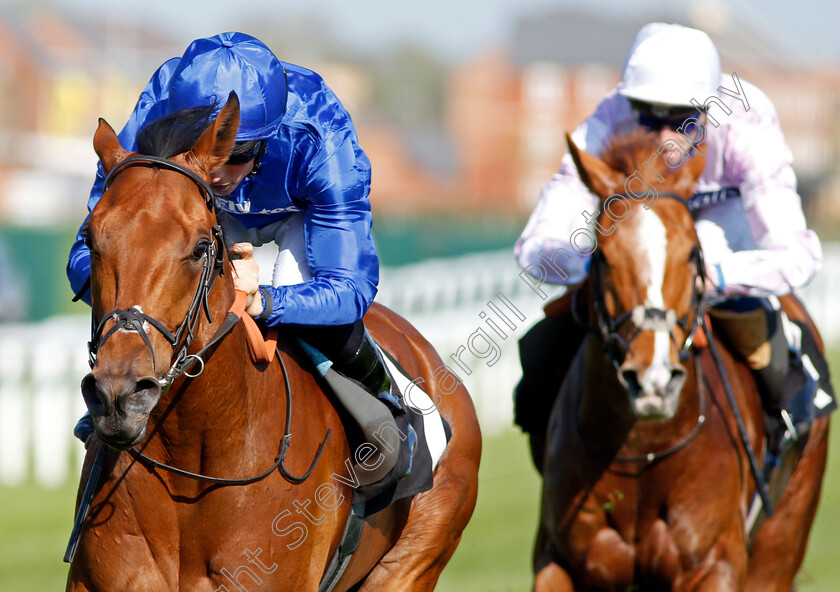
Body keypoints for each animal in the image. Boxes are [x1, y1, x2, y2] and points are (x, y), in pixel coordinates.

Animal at [536, 132, 832, 588]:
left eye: (693, 252)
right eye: (601, 255)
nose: (653, 380)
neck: (643, 454)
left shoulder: (714, 563)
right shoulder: (557, 561)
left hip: (781, 540)